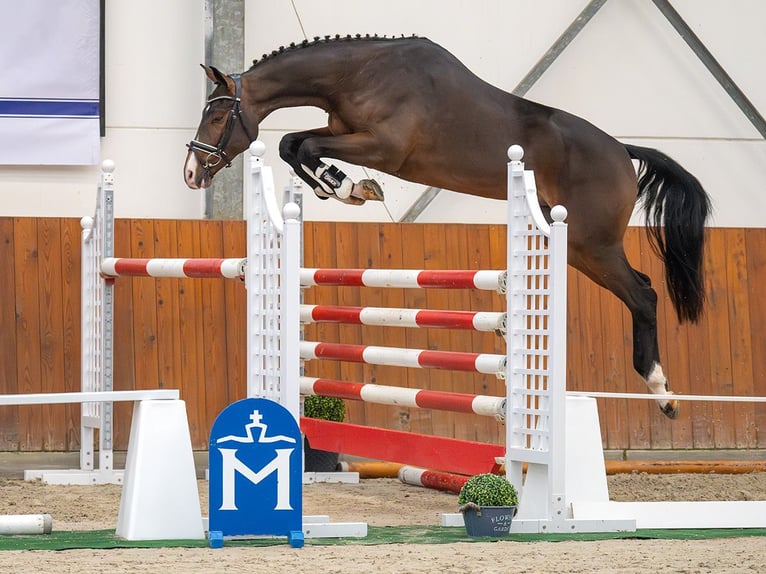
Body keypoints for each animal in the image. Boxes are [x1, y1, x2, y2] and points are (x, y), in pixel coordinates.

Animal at [183, 33, 712, 418]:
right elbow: (292, 143)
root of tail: (623, 151)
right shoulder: (341, 131)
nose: (191, 173)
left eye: (217, 116)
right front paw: (342, 188)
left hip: (591, 243)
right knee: (640, 289)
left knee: (642, 294)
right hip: (583, 248)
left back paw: (663, 392)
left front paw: (347, 187)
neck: (358, 73)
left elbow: (303, 145)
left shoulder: (383, 147)